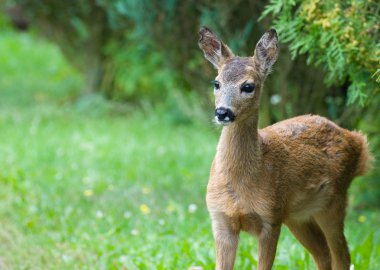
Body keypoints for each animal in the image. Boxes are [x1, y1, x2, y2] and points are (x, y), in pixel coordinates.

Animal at [199, 26, 372, 268]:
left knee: (342, 255)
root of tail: (358, 142)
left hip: (334, 201)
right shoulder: (221, 219)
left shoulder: (270, 217)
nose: (223, 112)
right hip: (297, 216)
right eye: (216, 83)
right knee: (323, 254)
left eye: (248, 86)